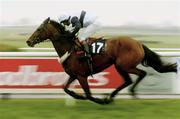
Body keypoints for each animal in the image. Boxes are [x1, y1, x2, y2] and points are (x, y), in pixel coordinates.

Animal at [26, 17, 176, 104]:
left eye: (39, 29)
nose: (28, 41)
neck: (69, 48)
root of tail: (138, 43)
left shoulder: (81, 76)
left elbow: (89, 95)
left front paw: (98, 99)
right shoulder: (73, 75)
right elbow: (65, 88)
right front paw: (76, 95)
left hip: (124, 65)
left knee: (141, 74)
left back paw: (125, 94)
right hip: (119, 66)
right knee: (128, 80)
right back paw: (112, 96)